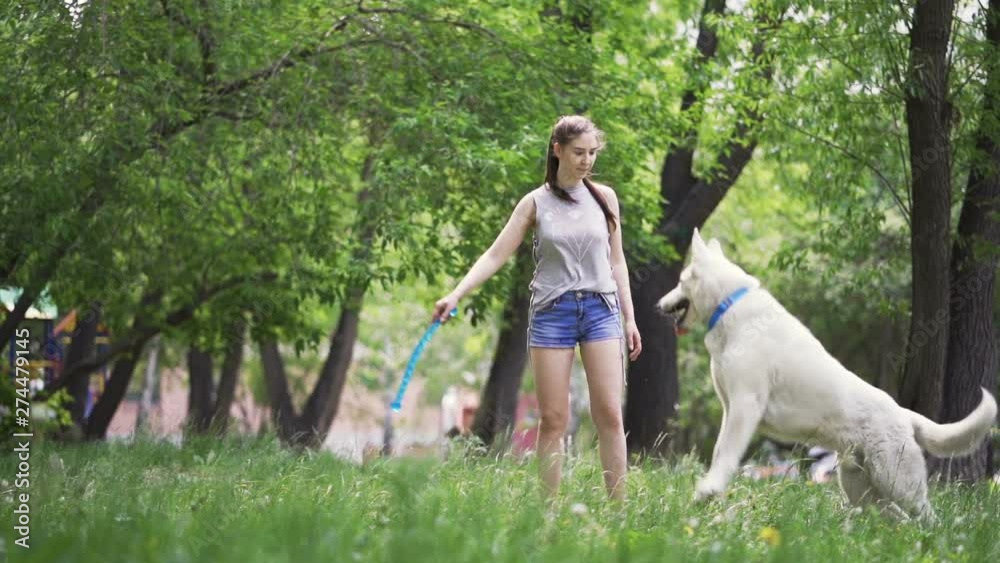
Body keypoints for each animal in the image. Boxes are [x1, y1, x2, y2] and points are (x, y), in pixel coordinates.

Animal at [657, 228, 997, 521]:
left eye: (680, 281)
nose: (658, 305)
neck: (729, 306)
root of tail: (905, 415)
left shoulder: (745, 406)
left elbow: (726, 454)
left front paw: (709, 489)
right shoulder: (730, 409)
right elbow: (718, 451)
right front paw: (707, 493)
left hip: (898, 483)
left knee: (928, 517)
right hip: (863, 488)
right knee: (897, 519)